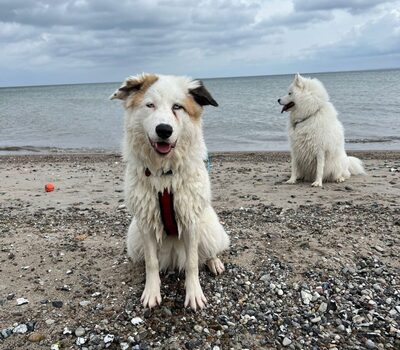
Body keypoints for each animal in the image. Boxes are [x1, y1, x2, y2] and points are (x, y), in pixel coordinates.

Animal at [111, 73, 230, 308]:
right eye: (150, 105)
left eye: (178, 107)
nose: (164, 130)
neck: (164, 174)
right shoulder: (146, 223)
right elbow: (151, 263)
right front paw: (151, 291)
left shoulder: (191, 221)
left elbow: (192, 263)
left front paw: (194, 295)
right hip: (134, 237)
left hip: (209, 228)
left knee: (209, 252)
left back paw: (214, 263)